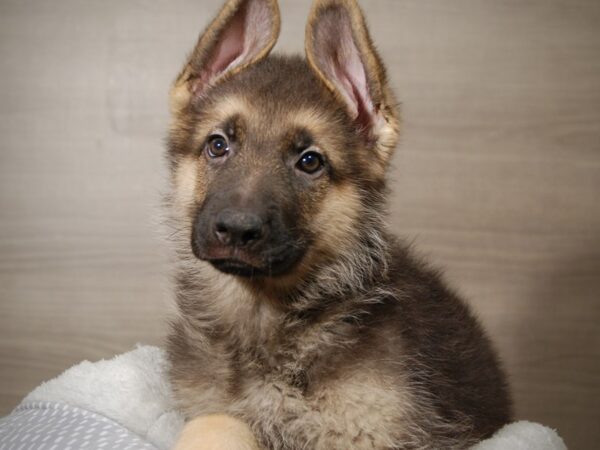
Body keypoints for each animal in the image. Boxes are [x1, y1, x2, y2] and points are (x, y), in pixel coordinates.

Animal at [168, 0, 510, 446]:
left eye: (310, 161)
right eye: (218, 145)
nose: (237, 230)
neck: (264, 316)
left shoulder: (373, 433)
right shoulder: (206, 410)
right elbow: (216, 424)